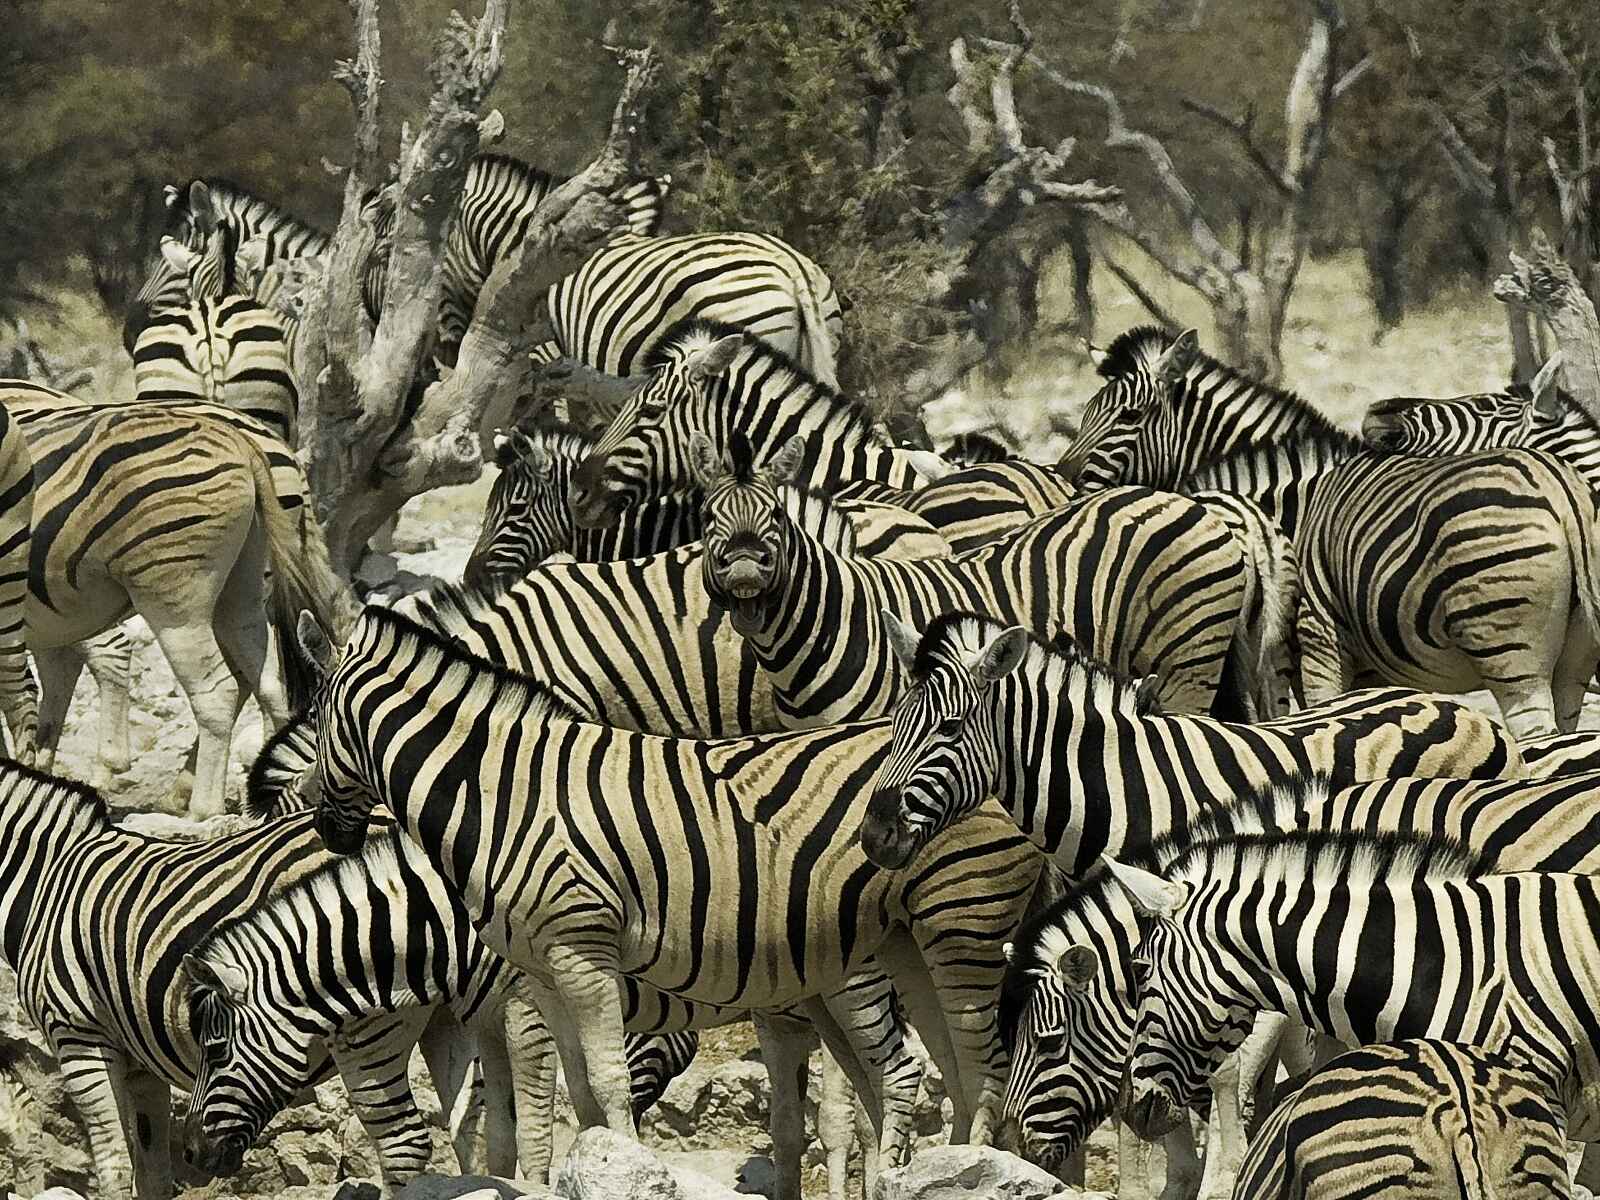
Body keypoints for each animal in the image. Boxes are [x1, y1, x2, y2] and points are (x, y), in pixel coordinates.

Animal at [182, 822, 697, 1183]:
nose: (189, 1153)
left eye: (215, 1051)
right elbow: (495, 1134)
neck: (445, 928)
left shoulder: (526, 1011)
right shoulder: (482, 1018)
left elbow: (530, 1133)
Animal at [302, 603, 1046, 1172]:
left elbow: (605, 1082)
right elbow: (581, 1092)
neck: (503, 793)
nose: (323, 826)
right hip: (902, 943)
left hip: (960, 924)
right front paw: (598, 1168)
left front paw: (624, 1166)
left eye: (313, 722)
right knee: (945, 1067)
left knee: (968, 1065)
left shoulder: (582, 953)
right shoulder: (540, 971)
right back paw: (942, 1169)